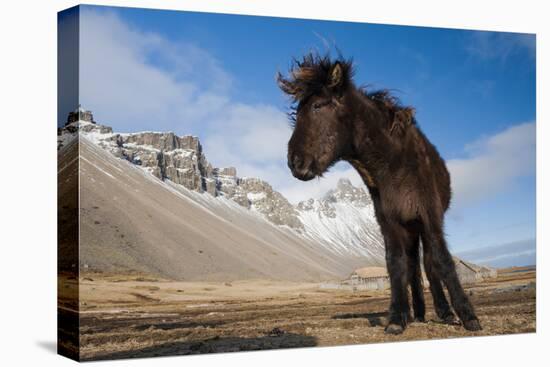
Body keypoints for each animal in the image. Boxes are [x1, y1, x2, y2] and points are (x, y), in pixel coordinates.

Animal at [278, 53, 480, 334]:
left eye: (318, 106)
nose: (295, 162)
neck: (393, 164)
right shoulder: (389, 220)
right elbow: (395, 264)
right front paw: (397, 317)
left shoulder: (429, 215)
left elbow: (442, 260)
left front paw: (468, 315)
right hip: (410, 227)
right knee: (413, 267)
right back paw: (418, 313)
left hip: (420, 225)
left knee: (429, 264)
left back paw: (445, 312)